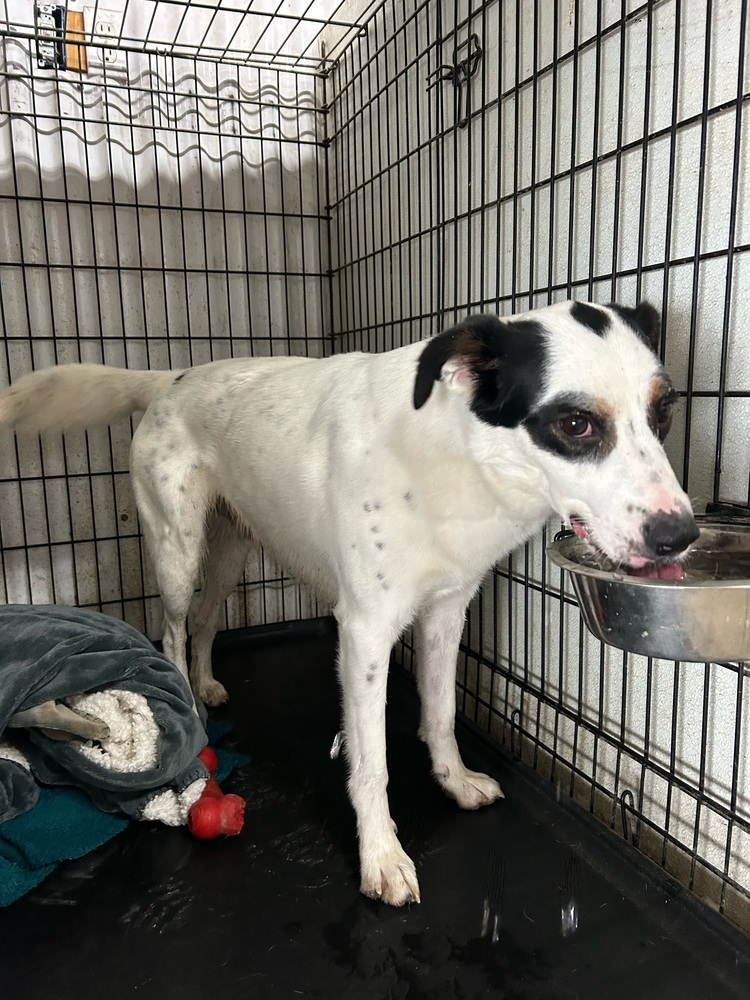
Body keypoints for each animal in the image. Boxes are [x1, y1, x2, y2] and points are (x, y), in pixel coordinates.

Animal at [0, 300, 700, 904]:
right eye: (575, 424)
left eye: (664, 411)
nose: (680, 536)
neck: (456, 457)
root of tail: (171, 377)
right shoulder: (364, 631)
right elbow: (372, 764)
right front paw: (381, 857)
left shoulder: (448, 610)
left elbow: (441, 714)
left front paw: (454, 781)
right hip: (178, 547)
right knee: (172, 628)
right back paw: (187, 709)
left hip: (231, 548)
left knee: (204, 619)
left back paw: (206, 683)